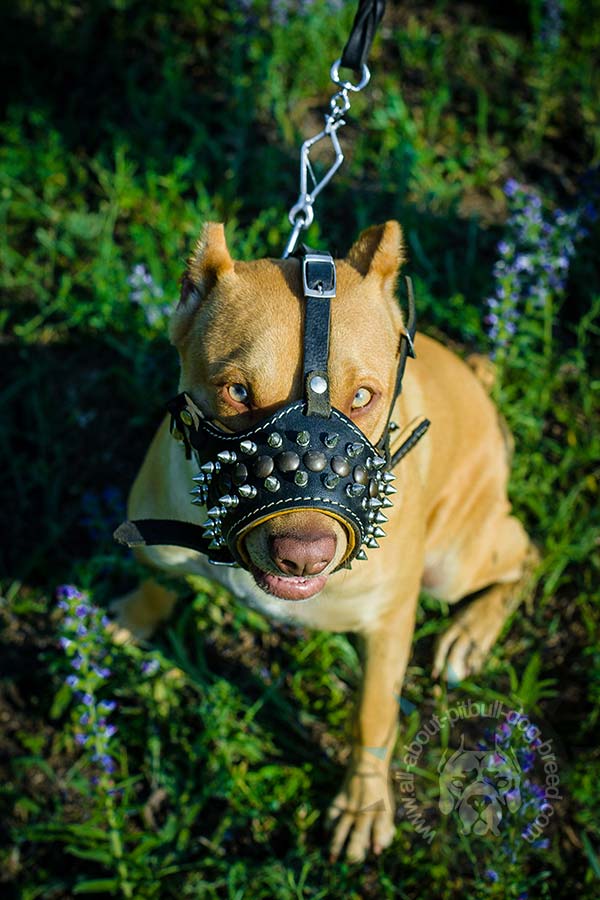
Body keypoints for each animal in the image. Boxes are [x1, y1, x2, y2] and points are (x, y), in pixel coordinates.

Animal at [112, 221, 536, 860]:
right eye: (237, 391)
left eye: (362, 397)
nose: (303, 554)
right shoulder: (158, 541)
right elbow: (157, 581)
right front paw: (133, 618)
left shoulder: (388, 625)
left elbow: (373, 716)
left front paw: (364, 805)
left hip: (455, 561)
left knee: (526, 551)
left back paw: (469, 633)